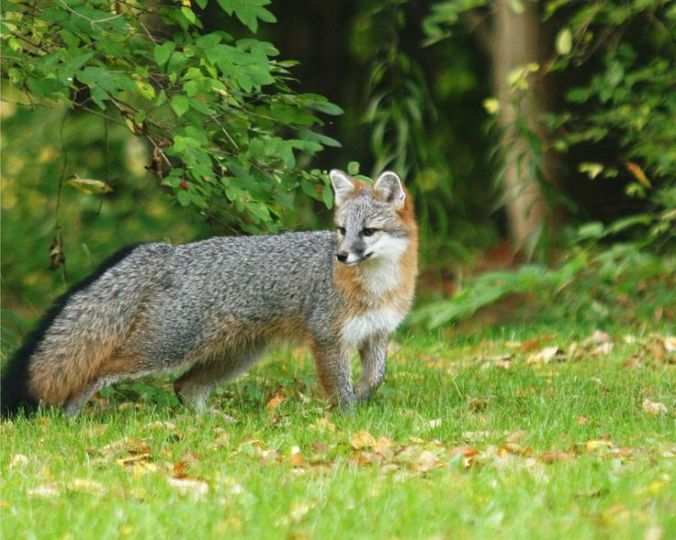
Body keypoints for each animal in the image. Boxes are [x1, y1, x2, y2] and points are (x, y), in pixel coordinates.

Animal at [0, 169, 418, 417]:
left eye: (367, 231)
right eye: (341, 229)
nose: (341, 255)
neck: (378, 286)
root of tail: (166, 251)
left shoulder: (377, 333)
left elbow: (376, 376)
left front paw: (362, 398)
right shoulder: (327, 338)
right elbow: (340, 388)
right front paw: (348, 421)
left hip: (238, 354)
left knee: (184, 386)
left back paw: (211, 423)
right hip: (168, 347)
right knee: (100, 371)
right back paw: (70, 416)